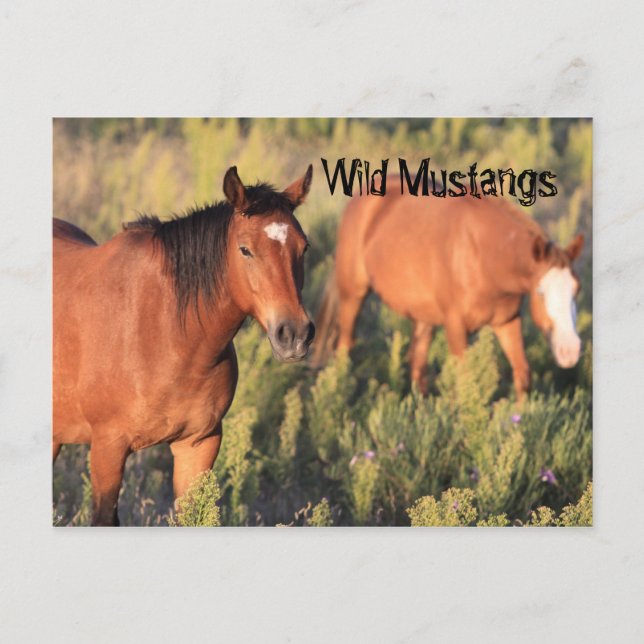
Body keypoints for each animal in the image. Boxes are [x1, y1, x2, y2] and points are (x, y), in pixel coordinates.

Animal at [313, 188, 584, 399]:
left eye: (577, 290)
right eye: (540, 292)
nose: (570, 351)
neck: (482, 255)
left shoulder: (507, 322)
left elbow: (523, 375)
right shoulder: (456, 327)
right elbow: (464, 379)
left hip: (423, 317)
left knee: (417, 365)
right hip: (353, 295)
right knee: (344, 347)